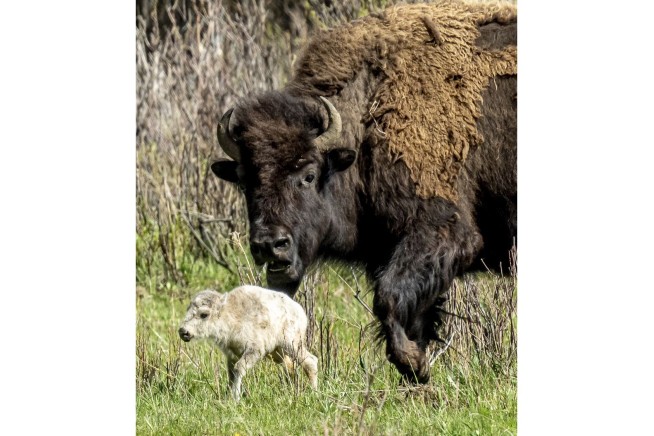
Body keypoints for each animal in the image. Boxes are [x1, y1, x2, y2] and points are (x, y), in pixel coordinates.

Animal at [209, 0, 517, 383]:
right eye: (244, 180)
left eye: (309, 175)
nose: (270, 245)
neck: (371, 116)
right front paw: (417, 368)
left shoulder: (443, 232)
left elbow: (388, 299)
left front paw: (413, 363)